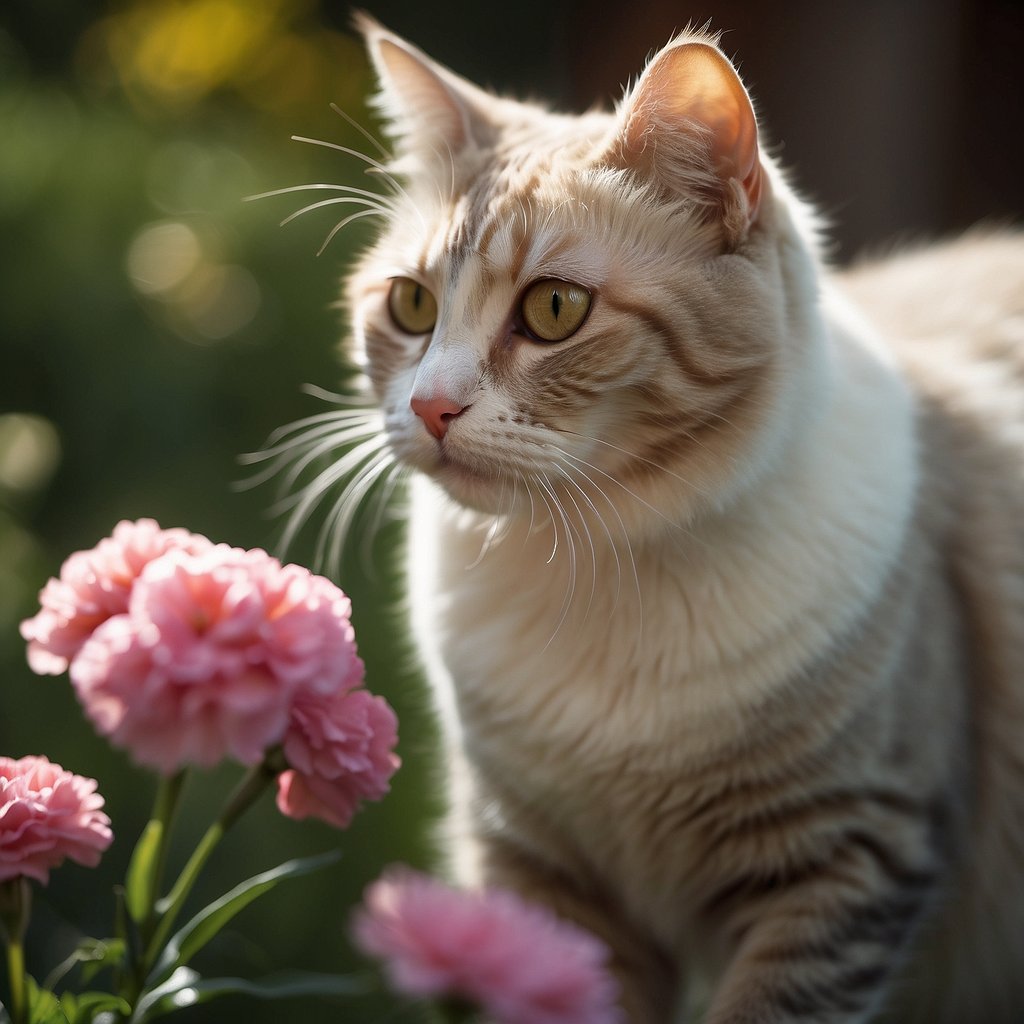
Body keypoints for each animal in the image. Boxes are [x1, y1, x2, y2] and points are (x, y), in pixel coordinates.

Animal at [311, 16, 1024, 1024]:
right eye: (411, 305)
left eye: (555, 309)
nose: (430, 406)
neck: (593, 561)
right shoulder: (540, 882)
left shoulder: (845, 864)